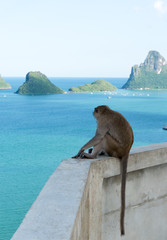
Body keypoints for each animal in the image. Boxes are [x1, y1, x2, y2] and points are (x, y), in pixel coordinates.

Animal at [72, 105, 134, 236]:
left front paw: (81, 150)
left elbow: (99, 136)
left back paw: (92, 156)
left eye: (95, 111)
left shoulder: (102, 121)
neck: (107, 111)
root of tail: (126, 151)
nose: (92, 113)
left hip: (115, 147)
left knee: (105, 137)